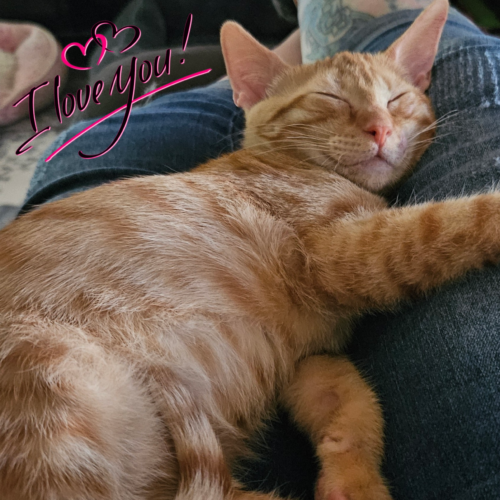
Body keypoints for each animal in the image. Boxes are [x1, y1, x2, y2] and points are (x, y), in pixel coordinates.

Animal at [0, 1, 494, 499]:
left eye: (396, 99)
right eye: (330, 99)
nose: (381, 129)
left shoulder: (305, 361)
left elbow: (350, 394)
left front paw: (353, 478)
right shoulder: (337, 255)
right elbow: (448, 222)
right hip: (50, 373)